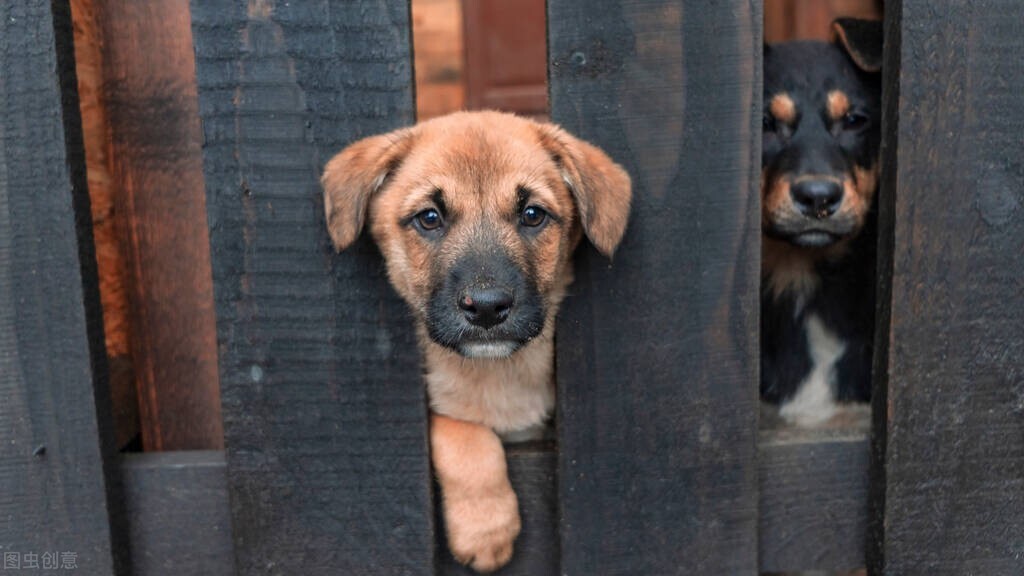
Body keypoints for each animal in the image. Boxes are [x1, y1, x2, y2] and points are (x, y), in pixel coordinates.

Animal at [321, 111, 630, 569]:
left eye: (533, 215)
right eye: (430, 218)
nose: (486, 308)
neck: (496, 371)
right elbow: (464, 434)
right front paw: (486, 530)